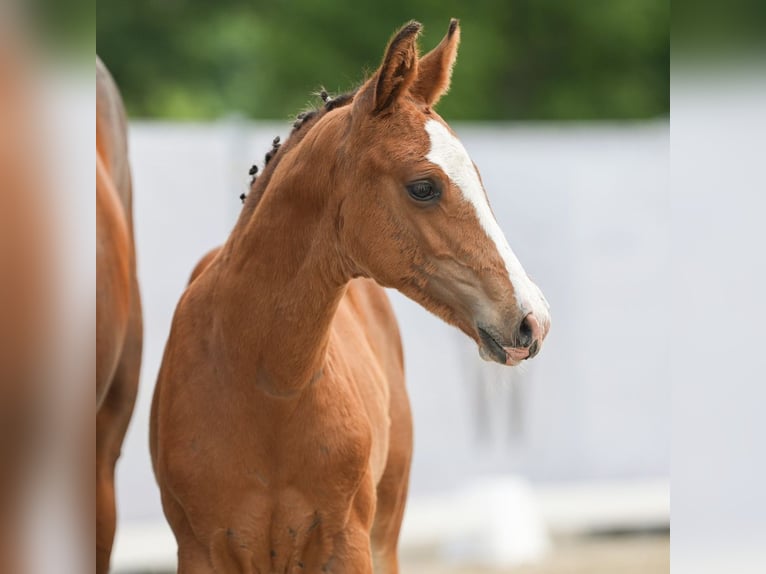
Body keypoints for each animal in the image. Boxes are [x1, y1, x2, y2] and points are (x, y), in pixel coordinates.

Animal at [150, 20, 548, 572]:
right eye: (423, 187)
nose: (533, 319)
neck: (267, 383)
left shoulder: (348, 542)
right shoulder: (201, 549)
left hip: (387, 528)